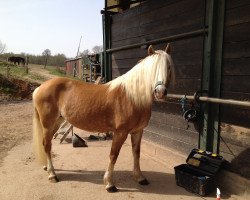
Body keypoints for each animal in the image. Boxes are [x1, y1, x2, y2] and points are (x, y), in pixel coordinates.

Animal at [32, 44, 174, 192]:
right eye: (153, 68)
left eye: (168, 67)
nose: (160, 92)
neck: (132, 96)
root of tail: (39, 88)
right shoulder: (120, 132)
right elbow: (113, 155)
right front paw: (110, 184)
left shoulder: (137, 131)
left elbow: (136, 153)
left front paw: (140, 177)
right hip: (48, 124)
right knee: (47, 145)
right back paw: (52, 175)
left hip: (56, 123)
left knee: (46, 144)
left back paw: (47, 168)